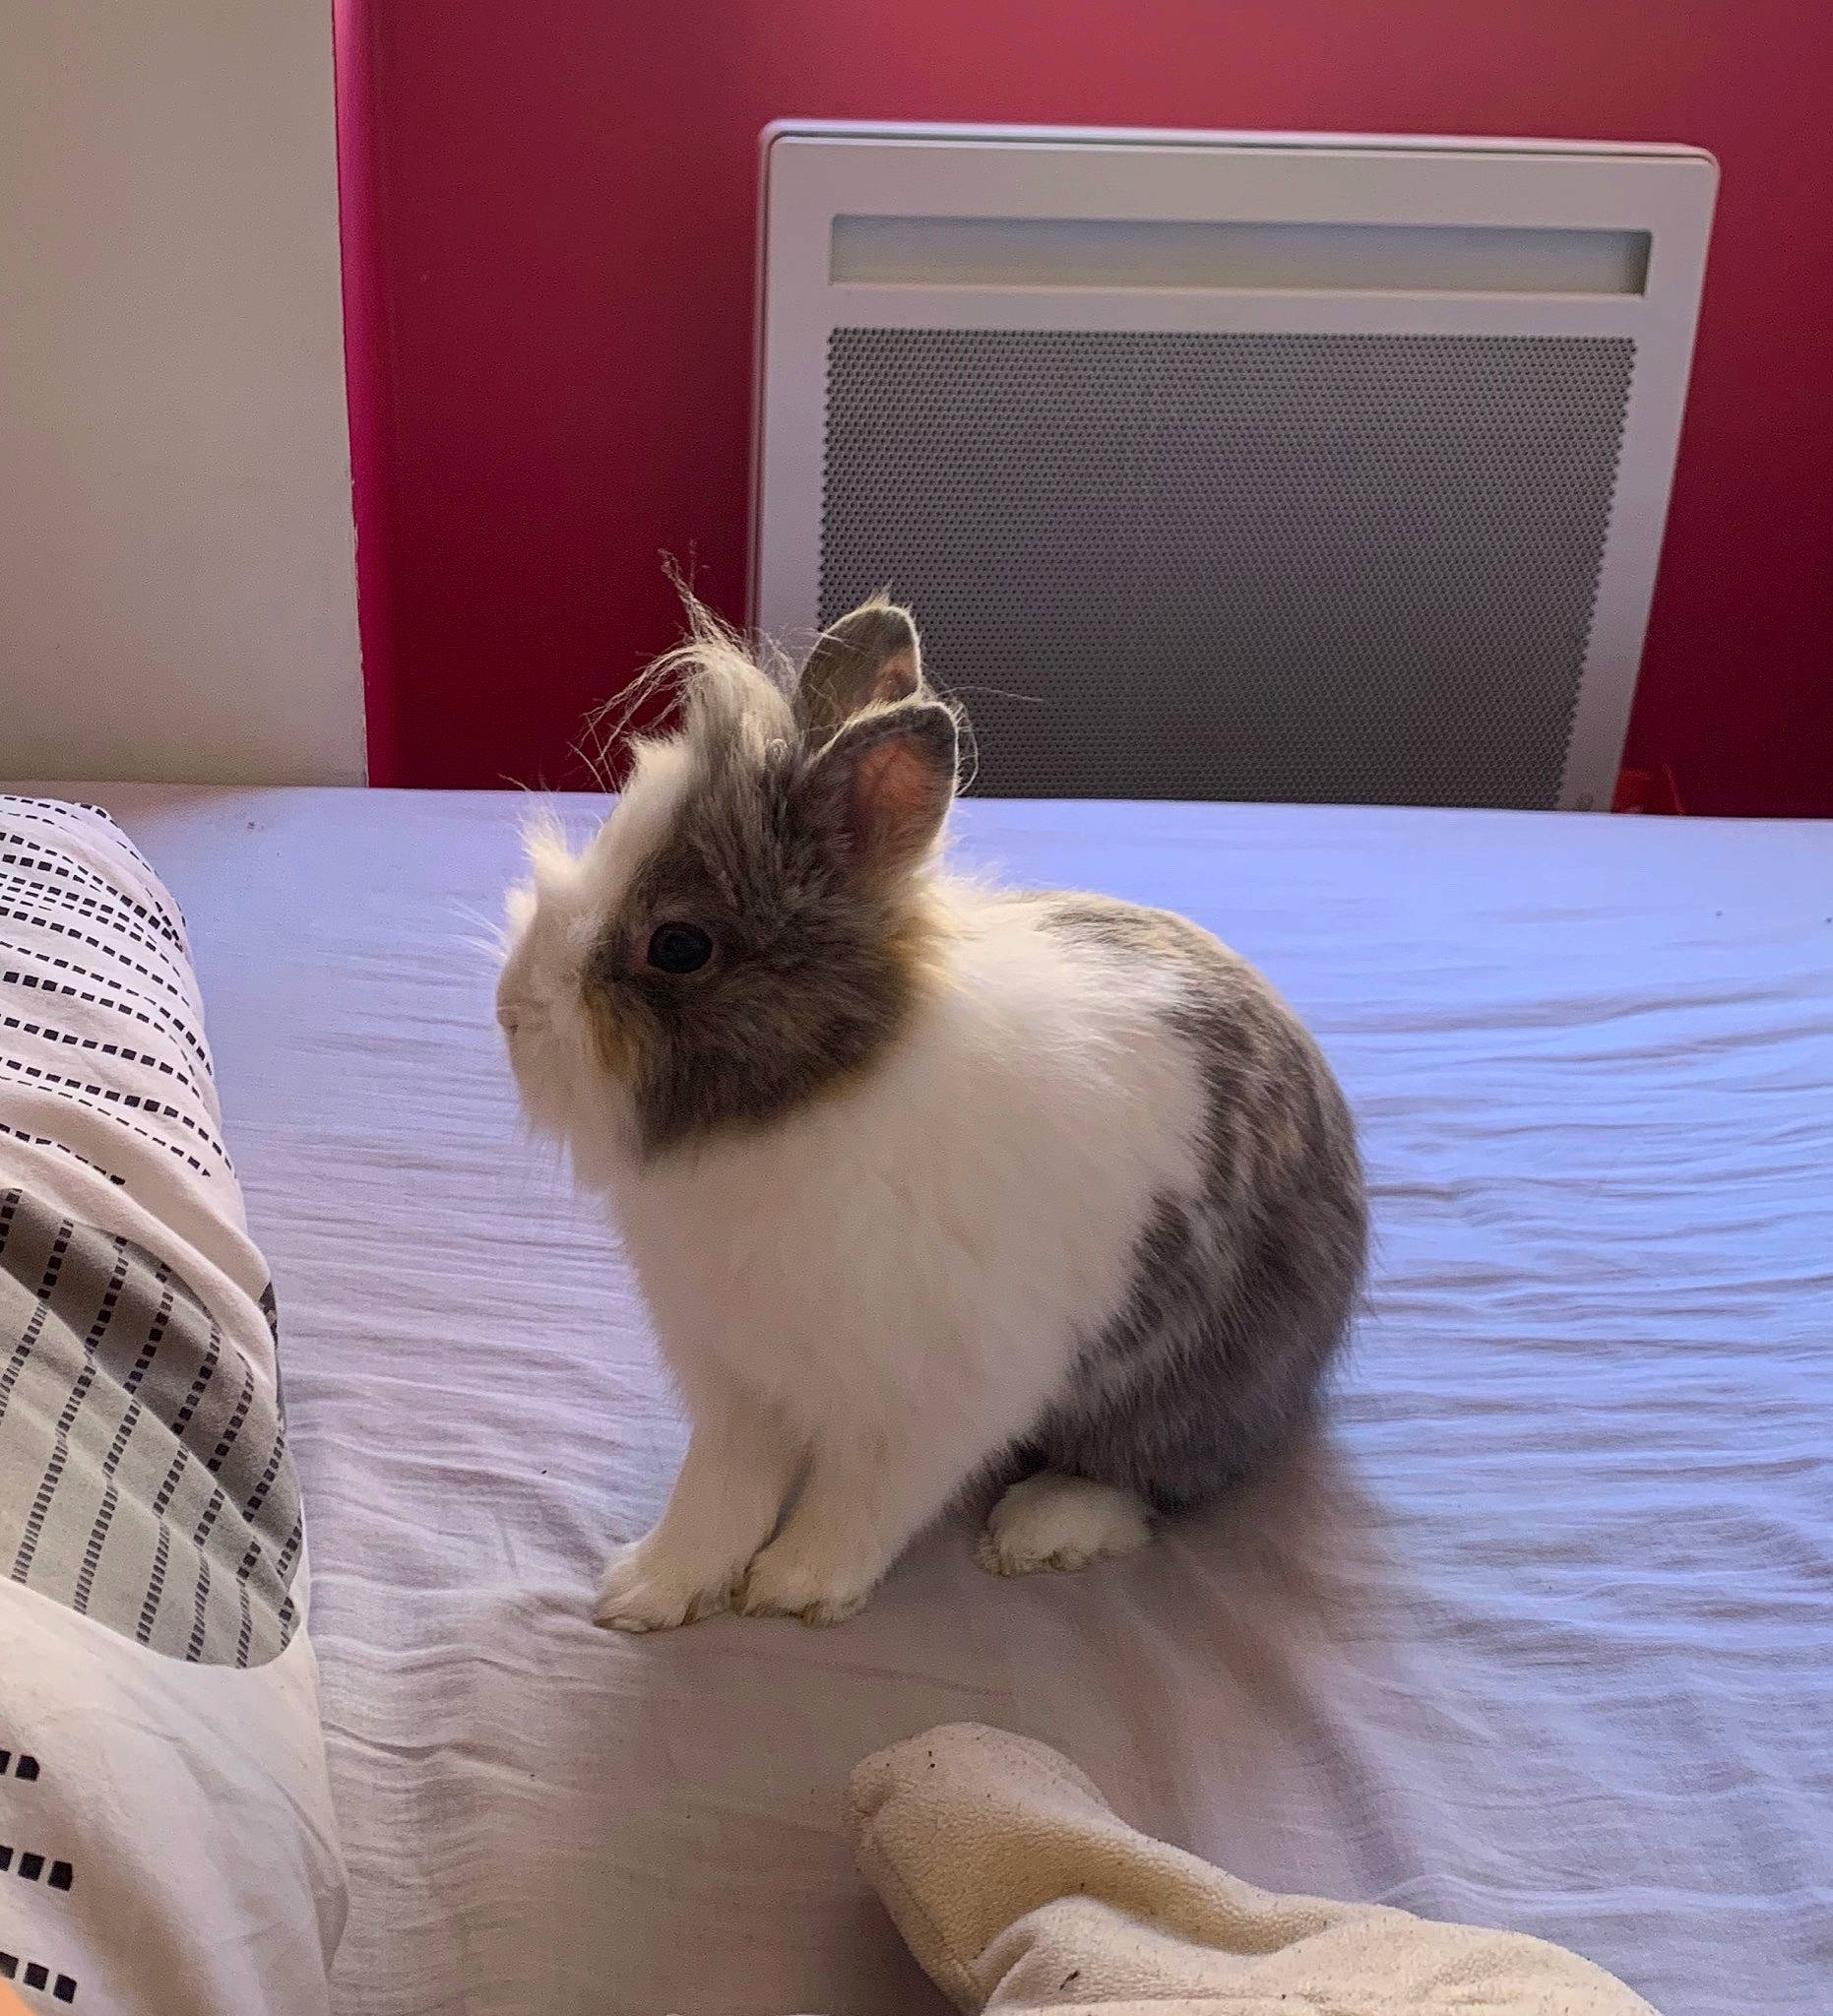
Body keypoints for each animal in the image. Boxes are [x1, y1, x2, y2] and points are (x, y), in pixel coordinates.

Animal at [495, 596, 1367, 1631]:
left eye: (678, 945)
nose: (509, 1012)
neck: (806, 1106)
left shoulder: (935, 1397)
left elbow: (864, 1498)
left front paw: (796, 1588)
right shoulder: (738, 1380)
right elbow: (718, 1492)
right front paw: (646, 1591)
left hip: (1206, 1372)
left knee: (1151, 1470)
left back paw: (1042, 1526)